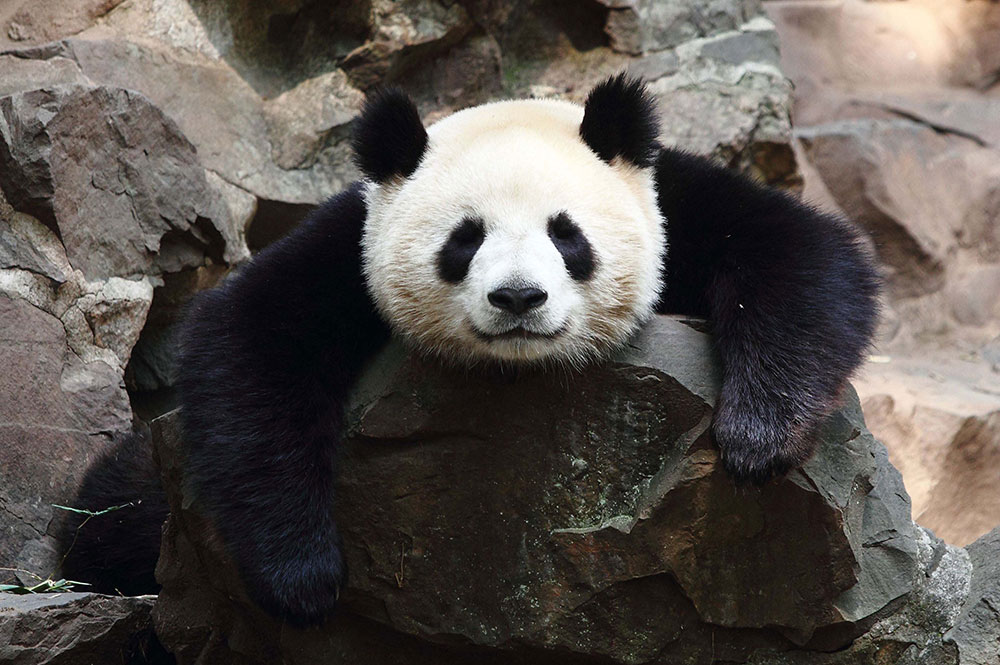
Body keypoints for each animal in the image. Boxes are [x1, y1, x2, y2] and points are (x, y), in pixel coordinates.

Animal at [60, 74, 879, 626]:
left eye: (567, 234)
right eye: (464, 239)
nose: (518, 298)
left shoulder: (672, 200)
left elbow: (800, 254)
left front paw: (759, 438)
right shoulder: (352, 240)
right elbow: (252, 340)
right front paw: (303, 577)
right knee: (124, 506)